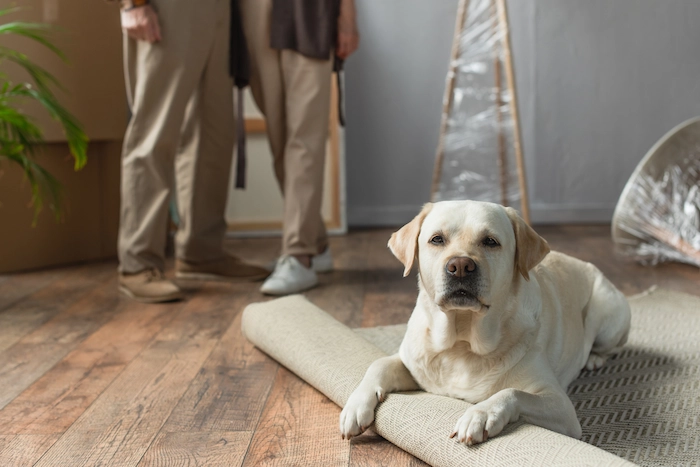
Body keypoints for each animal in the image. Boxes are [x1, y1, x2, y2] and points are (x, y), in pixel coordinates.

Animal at [342, 201, 632, 446]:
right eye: (437, 239)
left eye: (490, 241)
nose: (460, 266)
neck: (462, 340)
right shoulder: (413, 364)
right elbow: (378, 364)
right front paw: (355, 406)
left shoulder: (559, 404)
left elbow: (512, 392)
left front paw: (479, 415)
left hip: (606, 314)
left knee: (609, 344)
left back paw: (594, 357)